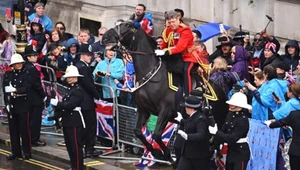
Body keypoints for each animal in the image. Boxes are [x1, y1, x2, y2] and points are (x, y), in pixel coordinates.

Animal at [103, 17, 178, 165]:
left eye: (128, 25)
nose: (105, 36)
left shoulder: (166, 110)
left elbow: (156, 134)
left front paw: (165, 155)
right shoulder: (144, 109)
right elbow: (137, 131)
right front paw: (156, 152)